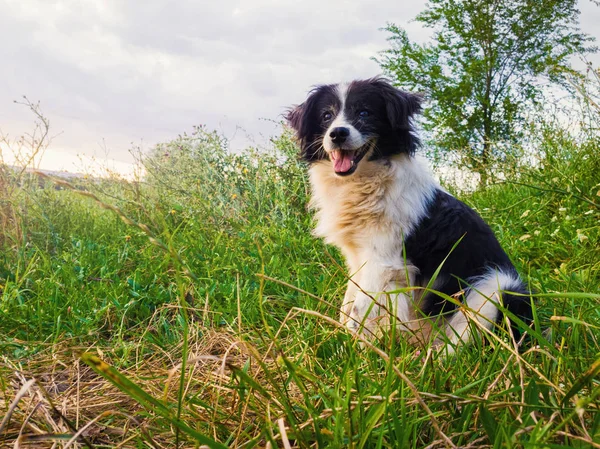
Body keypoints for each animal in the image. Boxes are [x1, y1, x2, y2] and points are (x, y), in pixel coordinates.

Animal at [288, 75, 532, 352]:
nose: (337, 134)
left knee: (464, 343)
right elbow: (349, 301)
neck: (364, 183)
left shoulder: (383, 261)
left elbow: (361, 310)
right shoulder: (357, 258)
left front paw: (356, 351)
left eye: (364, 112)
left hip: (498, 289)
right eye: (326, 116)